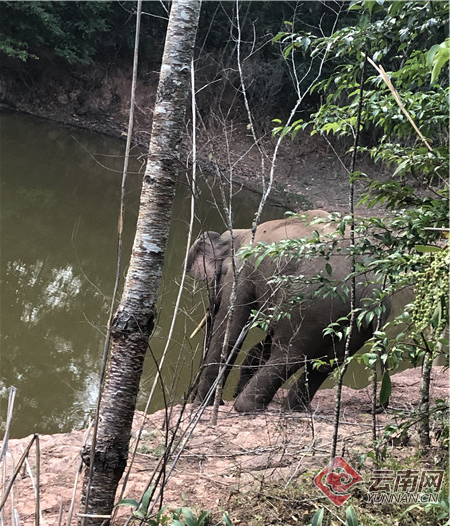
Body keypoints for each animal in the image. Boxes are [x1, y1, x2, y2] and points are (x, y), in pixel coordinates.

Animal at [186, 210, 386, 412]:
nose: (189, 397)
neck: (241, 234)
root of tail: (373, 293)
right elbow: (262, 341)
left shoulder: (241, 273)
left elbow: (231, 330)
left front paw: (201, 405)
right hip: (355, 324)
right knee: (326, 362)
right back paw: (293, 408)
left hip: (310, 302)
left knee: (289, 353)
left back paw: (245, 406)